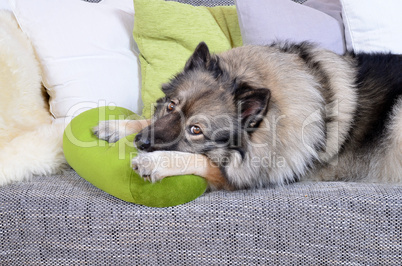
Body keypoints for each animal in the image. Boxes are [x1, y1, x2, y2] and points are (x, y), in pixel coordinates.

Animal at [94, 41, 402, 190]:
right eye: (170, 106)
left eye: (196, 130)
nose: (141, 143)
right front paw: (117, 125)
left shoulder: (248, 173)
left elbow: (204, 161)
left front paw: (155, 161)